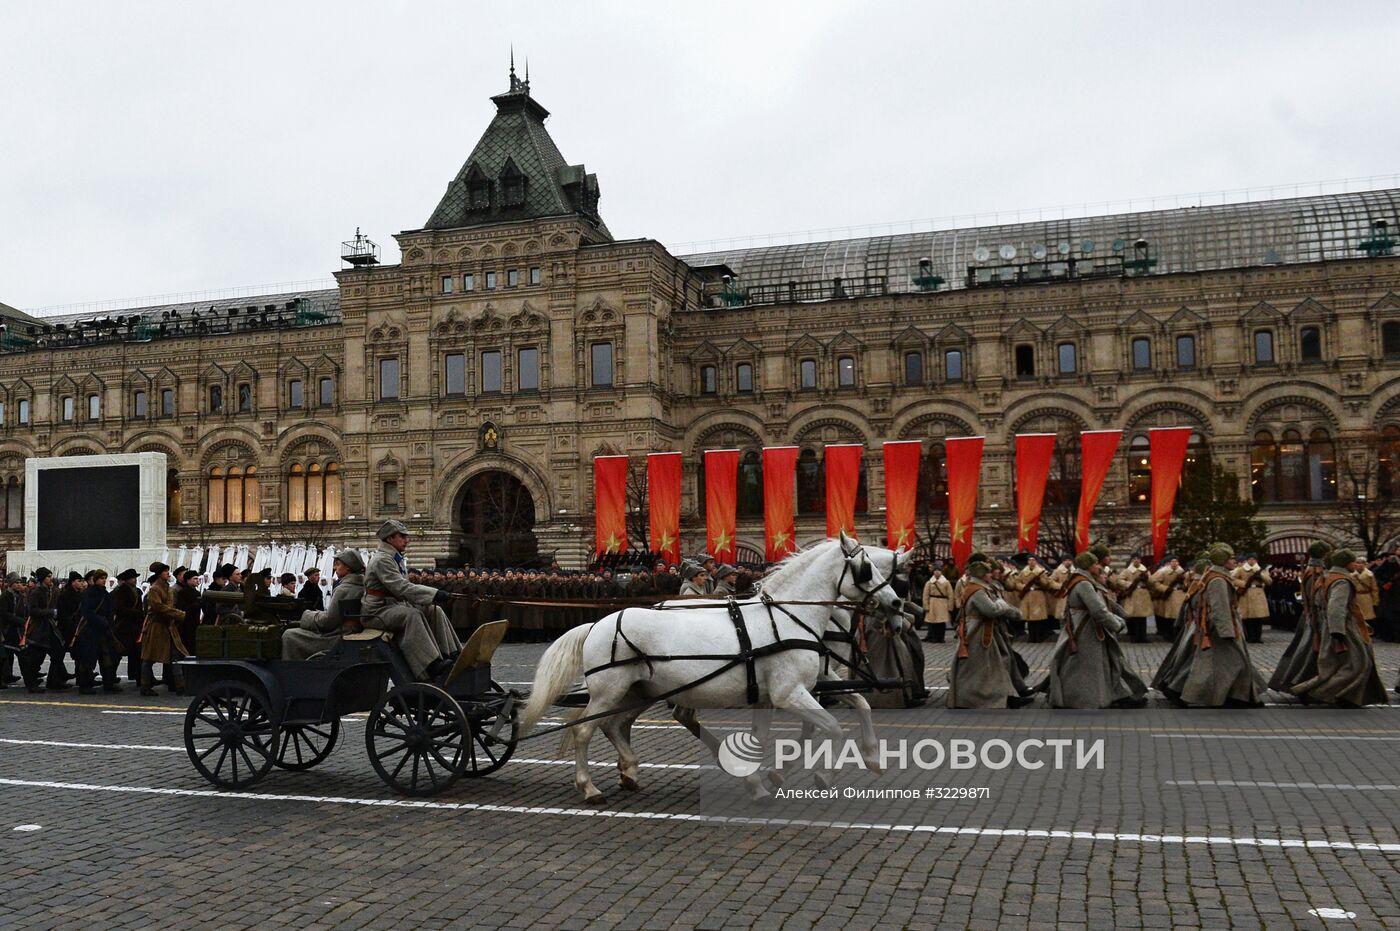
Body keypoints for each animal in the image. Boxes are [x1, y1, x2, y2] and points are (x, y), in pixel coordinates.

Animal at [523, 534, 907, 800]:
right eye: (866, 569)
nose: (896, 604)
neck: (787, 617)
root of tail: (598, 623)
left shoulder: (778, 694)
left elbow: (857, 705)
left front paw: (871, 757)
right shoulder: (789, 693)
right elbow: (834, 729)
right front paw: (821, 776)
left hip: (638, 692)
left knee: (615, 726)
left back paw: (629, 771)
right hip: (609, 692)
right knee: (584, 730)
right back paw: (589, 787)